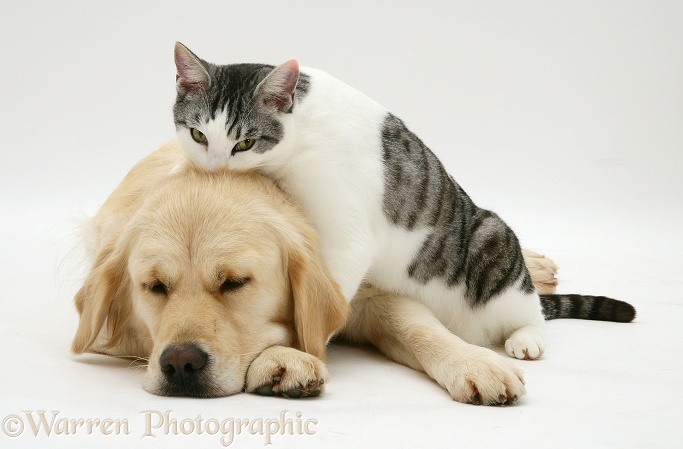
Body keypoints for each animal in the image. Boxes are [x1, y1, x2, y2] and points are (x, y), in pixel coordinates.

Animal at [171, 43, 636, 404]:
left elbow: (321, 301)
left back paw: (527, 337)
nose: (214, 170)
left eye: (245, 142)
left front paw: (291, 352)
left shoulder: (347, 239)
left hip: (494, 241)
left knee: (531, 307)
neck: (298, 132)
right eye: (198, 136)